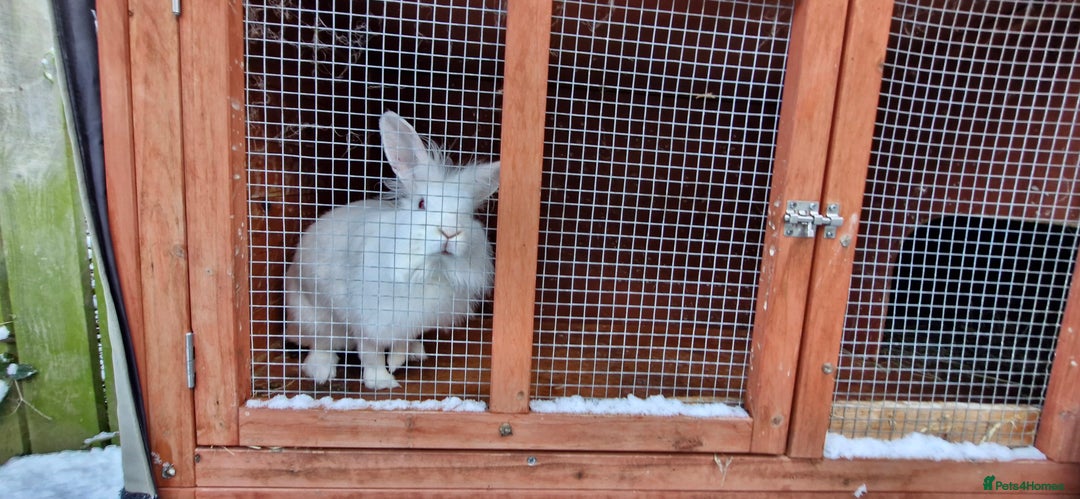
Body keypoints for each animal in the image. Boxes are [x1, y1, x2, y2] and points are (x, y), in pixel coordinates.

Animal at [283, 111, 500, 390]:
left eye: (469, 213)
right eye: (421, 204)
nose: (450, 232)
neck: (428, 268)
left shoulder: (410, 321)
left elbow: (401, 342)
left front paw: (399, 360)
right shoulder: (368, 320)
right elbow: (371, 353)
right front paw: (382, 381)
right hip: (312, 315)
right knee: (320, 343)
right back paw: (321, 371)